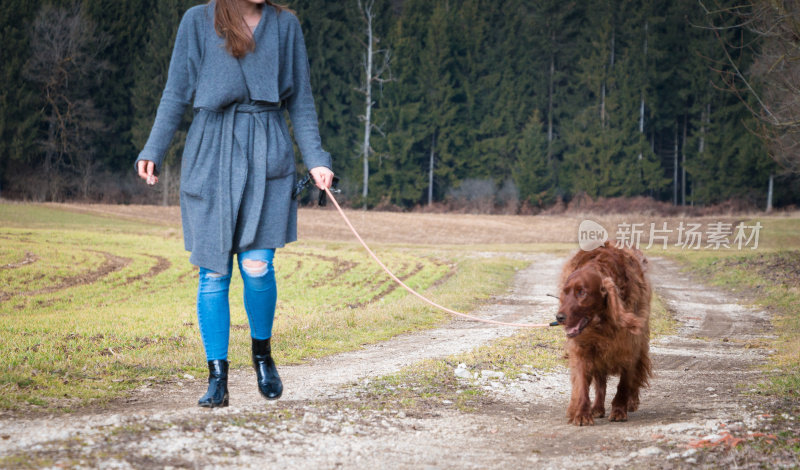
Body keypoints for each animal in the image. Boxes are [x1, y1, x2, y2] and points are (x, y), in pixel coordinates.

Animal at [556, 242, 648, 426]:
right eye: (565, 292)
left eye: (581, 292)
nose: (559, 317)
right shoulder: (583, 348)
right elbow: (582, 383)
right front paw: (582, 413)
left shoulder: (629, 346)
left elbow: (624, 384)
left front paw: (619, 410)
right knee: (600, 383)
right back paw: (597, 408)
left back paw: (632, 402)